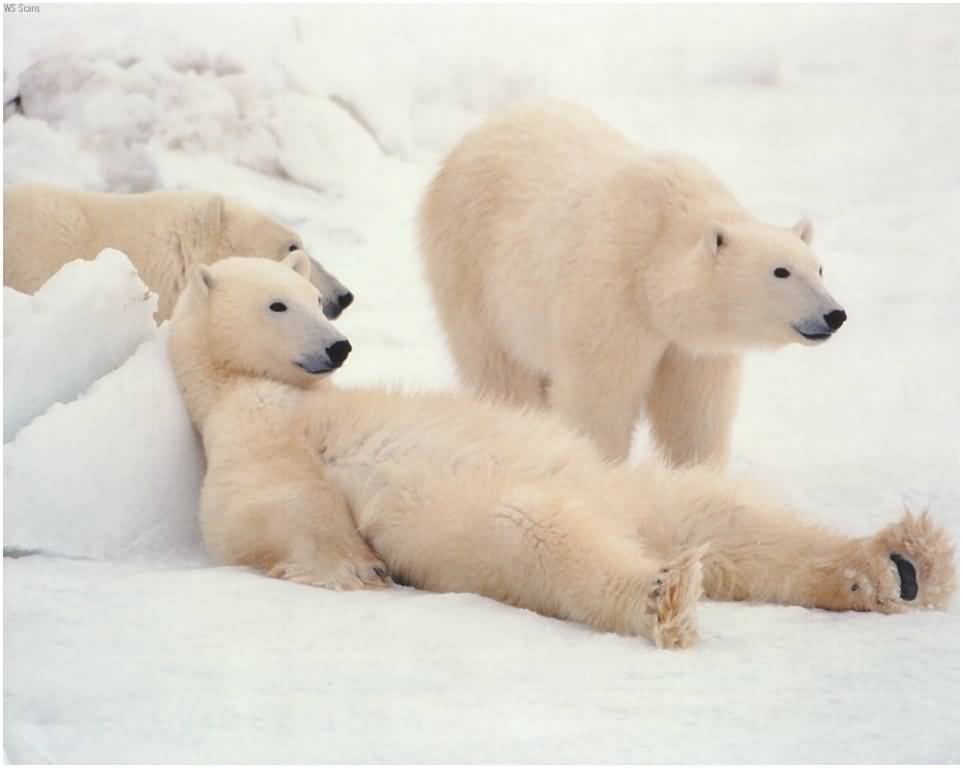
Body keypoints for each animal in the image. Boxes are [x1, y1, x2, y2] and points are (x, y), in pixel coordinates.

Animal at [167, 255, 954, 649]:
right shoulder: (249, 436)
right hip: (475, 517)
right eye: (278, 304)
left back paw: (898, 564)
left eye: (313, 298)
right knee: (539, 536)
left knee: (724, 517)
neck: (266, 390)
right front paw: (354, 569)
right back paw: (664, 594)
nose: (337, 346)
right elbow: (269, 507)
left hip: (627, 487)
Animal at [418, 101, 848, 465]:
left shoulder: (691, 348)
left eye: (819, 268)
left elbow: (696, 409)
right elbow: (600, 396)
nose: (834, 314)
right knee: (499, 369)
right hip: (471, 269)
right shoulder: (611, 293)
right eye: (781, 271)